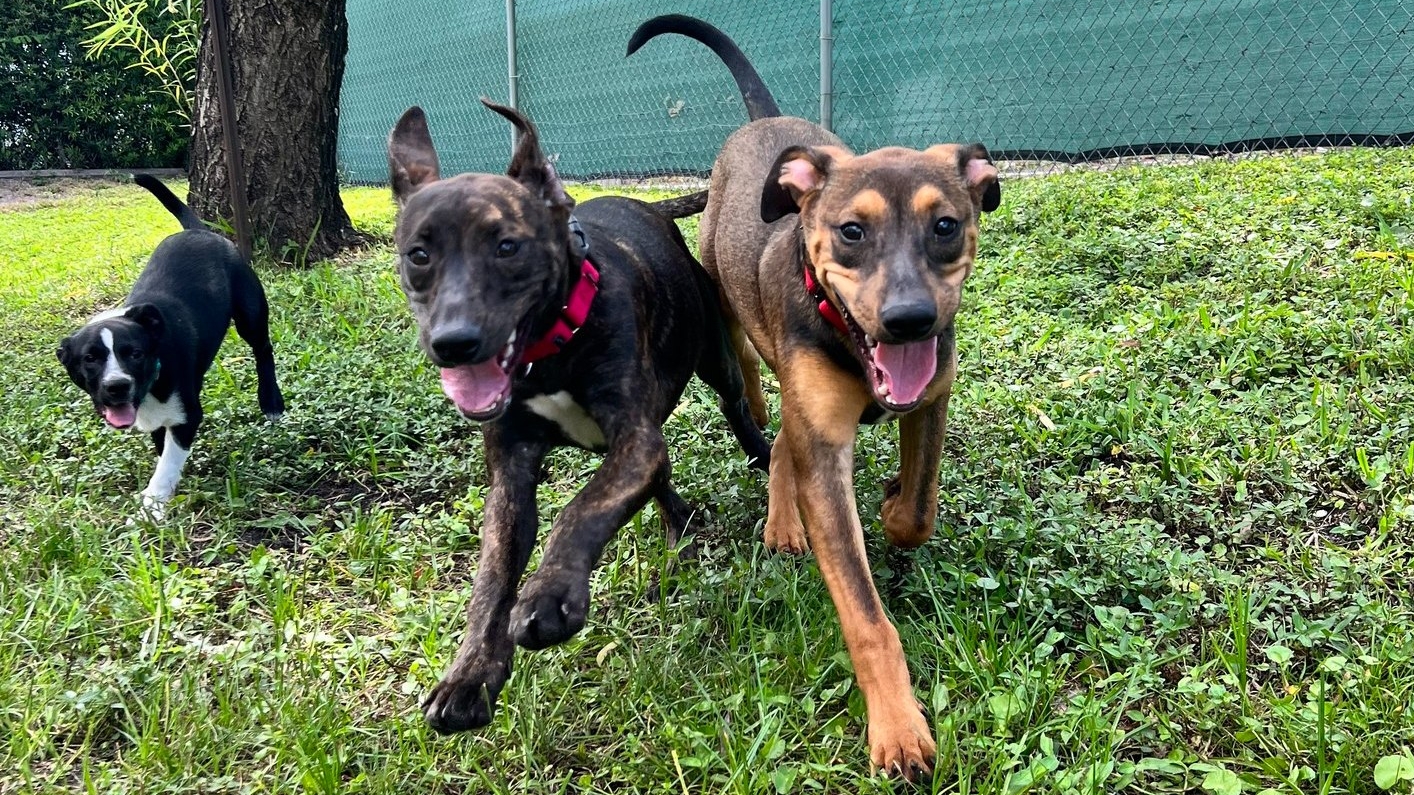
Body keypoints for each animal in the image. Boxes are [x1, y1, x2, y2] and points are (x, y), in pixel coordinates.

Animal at [57, 175, 284, 517]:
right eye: (90, 359)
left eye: (135, 354)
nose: (117, 386)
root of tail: (199, 230)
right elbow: (162, 447)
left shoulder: (186, 416)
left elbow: (166, 464)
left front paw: (150, 509)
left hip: (250, 312)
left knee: (263, 350)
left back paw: (271, 401)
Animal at [387, 101, 769, 735]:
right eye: (419, 254)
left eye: (507, 246)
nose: (453, 343)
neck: (549, 351)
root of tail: (646, 206)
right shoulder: (512, 471)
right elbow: (493, 574)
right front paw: (470, 675)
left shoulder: (632, 437)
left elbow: (582, 508)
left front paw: (550, 595)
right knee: (662, 483)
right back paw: (679, 531)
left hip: (717, 360)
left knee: (737, 409)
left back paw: (763, 459)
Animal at [630, 15, 1006, 775]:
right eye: (852, 231)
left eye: (946, 225)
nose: (910, 319)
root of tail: (767, 122)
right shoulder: (827, 447)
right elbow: (865, 615)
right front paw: (897, 729)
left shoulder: (929, 400)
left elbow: (919, 509)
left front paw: (892, 501)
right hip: (725, 297)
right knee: (758, 387)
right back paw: (778, 496)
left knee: (786, 440)